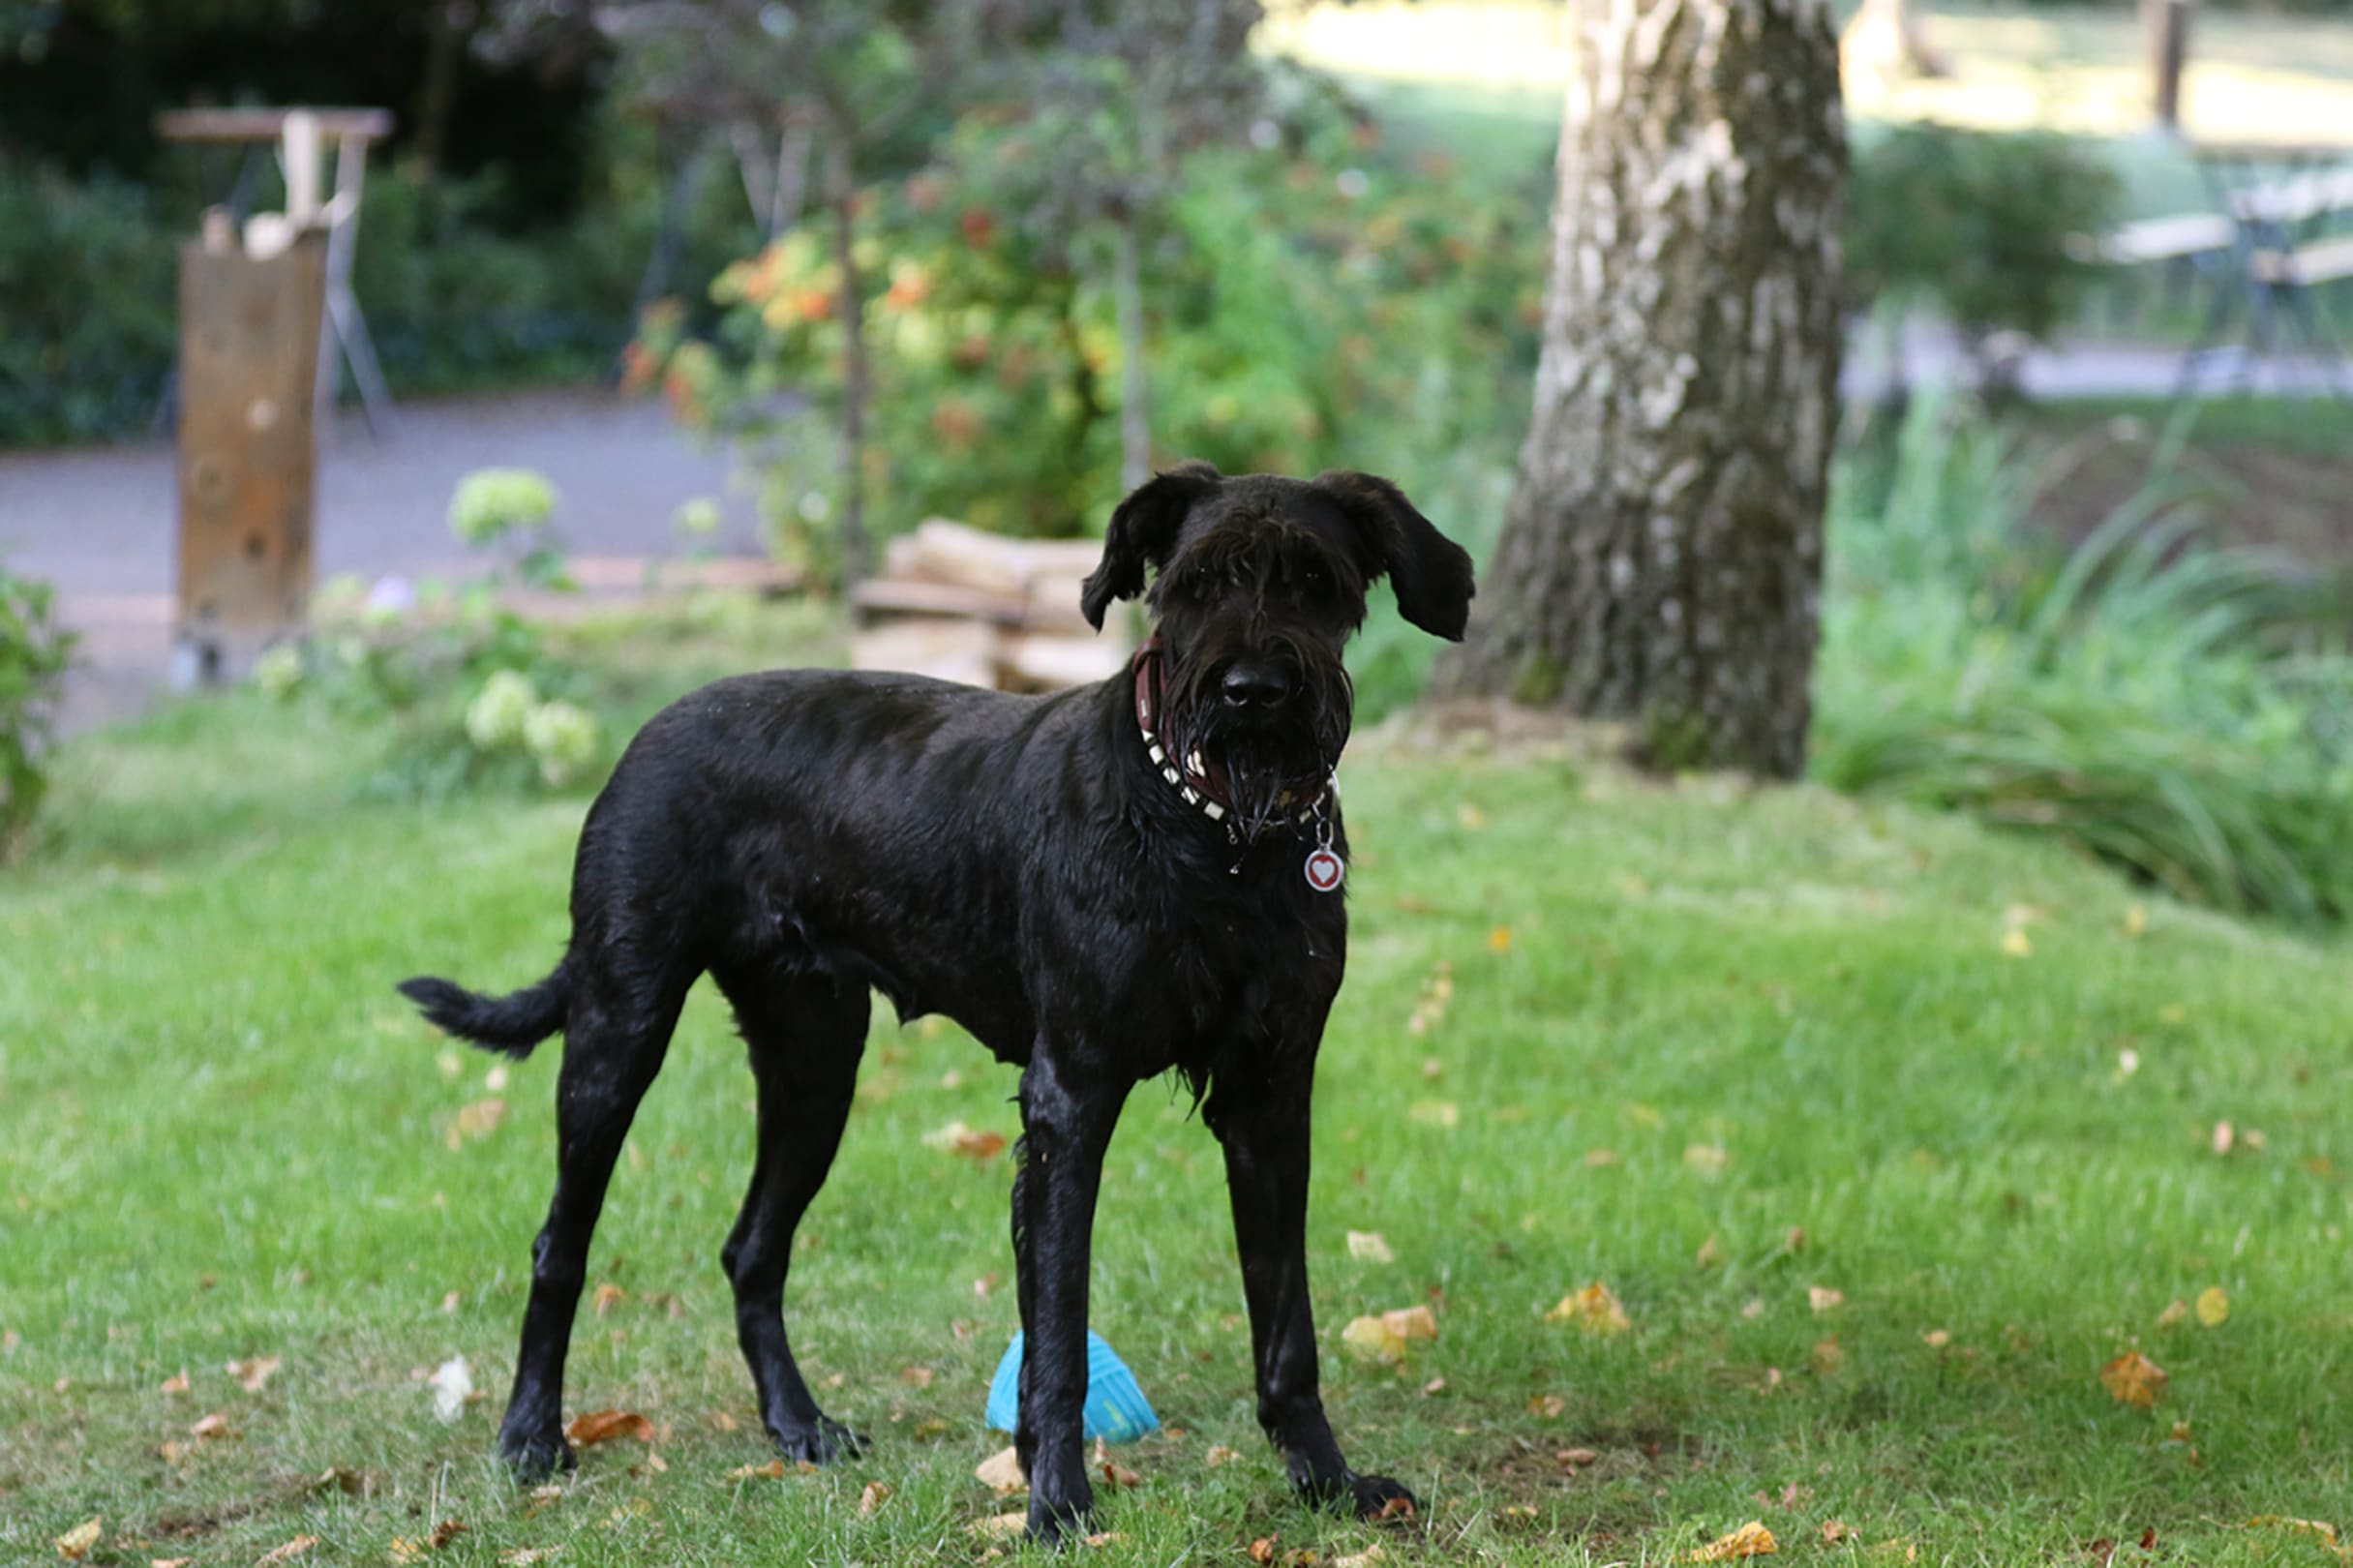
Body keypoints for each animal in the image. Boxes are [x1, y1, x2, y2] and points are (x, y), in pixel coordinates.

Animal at [399, 461, 1475, 1541]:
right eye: (1195, 585)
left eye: (1316, 580)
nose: (1254, 692)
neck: (1215, 838)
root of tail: (647, 734)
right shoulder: (1072, 1096)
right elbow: (1059, 1330)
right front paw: (1057, 1504)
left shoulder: (1267, 1100)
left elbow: (1285, 1325)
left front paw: (1327, 1482)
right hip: (618, 1035)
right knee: (561, 1245)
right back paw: (532, 1438)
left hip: (814, 1068)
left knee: (753, 1250)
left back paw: (798, 1425)